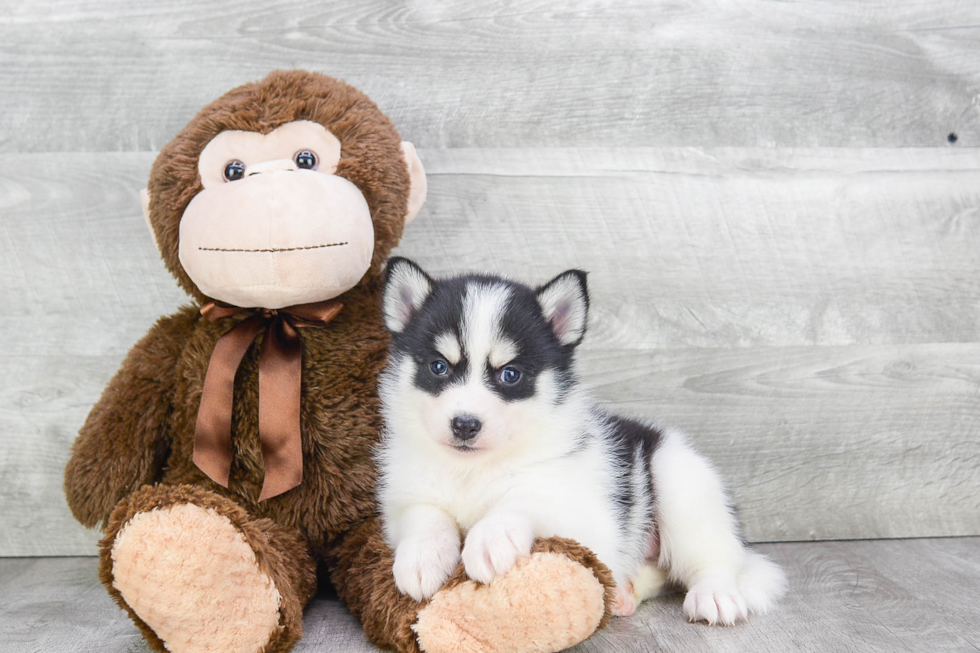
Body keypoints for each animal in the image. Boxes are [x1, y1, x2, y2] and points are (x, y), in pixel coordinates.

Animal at [376, 256, 788, 620]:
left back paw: (713, 594)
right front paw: (421, 557)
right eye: (438, 367)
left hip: (681, 485)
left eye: (510, 375)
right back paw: (625, 593)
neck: (474, 469)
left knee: (711, 560)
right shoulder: (404, 500)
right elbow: (426, 515)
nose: (464, 424)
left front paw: (490, 537)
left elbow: (525, 498)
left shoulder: (586, 518)